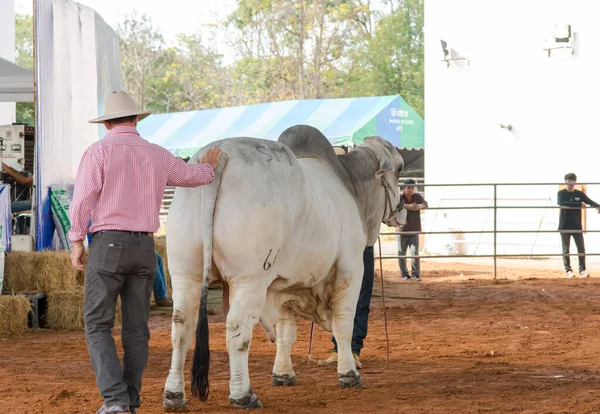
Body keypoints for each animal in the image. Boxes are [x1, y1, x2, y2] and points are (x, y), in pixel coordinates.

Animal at [162, 124, 406, 410]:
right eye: (400, 168)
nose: (402, 211)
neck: (350, 184)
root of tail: (218, 155)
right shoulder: (350, 268)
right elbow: (343, 325)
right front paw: (349, 375)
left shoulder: (282, 286)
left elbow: (285, 332)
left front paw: (283, 374)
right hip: (249, 279)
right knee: (237, 329)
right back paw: (243, 395)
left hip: (185, 272)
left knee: (181, 327)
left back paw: (174, 395)